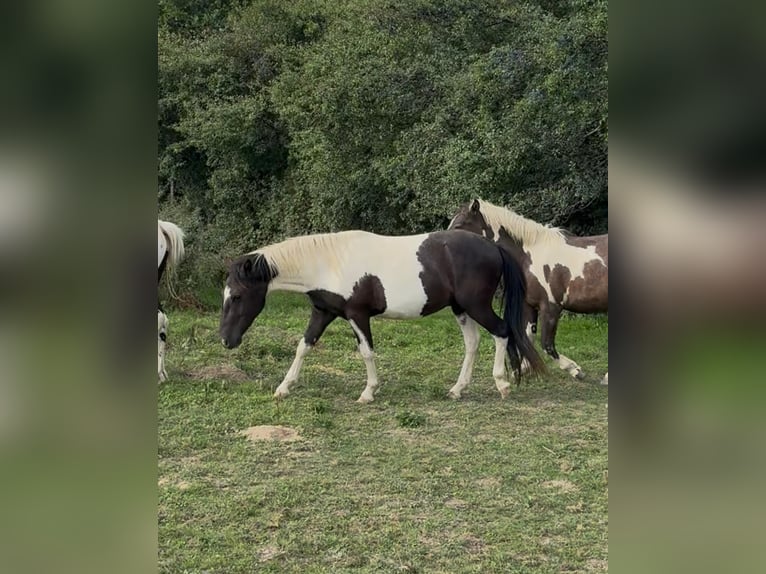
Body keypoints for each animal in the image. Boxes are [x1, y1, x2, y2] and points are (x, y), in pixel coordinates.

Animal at [219, 229, 545, 402]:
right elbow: (304, 346)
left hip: (476, 306)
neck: (329, 264)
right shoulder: (323, 312)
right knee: (473, 343)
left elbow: (366, 352)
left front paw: (368, 392)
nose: (226, 340)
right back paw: (457, 389)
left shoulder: (357, 315)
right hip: (461, 308)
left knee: (502, 332)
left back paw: (502, 384)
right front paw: (284, 387)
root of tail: (493, 246)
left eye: (236, 297)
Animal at [449, 200, 607, 383]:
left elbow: (547, 345)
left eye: (458, 225)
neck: (529, 256)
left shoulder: (551, 307)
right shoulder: (530, 305)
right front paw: (523, 370)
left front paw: (575, 370)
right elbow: (528, 338)